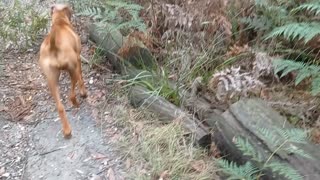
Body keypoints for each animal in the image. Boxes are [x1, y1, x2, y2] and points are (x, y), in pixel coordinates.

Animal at [38, 3, 87, 137]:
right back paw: (77, 103)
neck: (59, 22)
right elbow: (81, 79)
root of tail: (53, 45)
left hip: (51, 79)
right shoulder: (78, 59)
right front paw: (84, 92)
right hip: (72, 70)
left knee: (60, 107)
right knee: (71, 95)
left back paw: (67, 129)